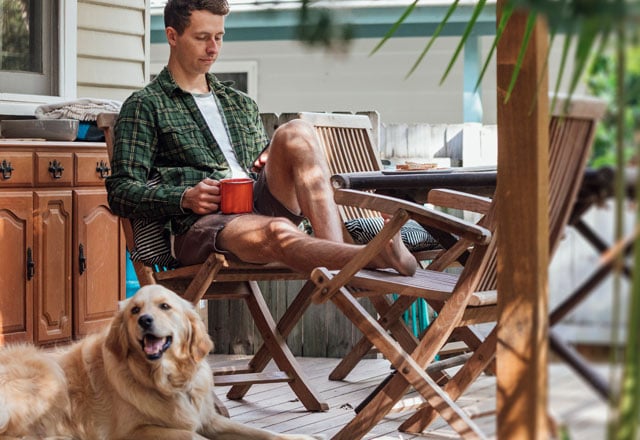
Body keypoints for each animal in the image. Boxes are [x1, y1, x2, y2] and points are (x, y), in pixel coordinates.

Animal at [0, 286, 320, 440]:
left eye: (165, 306)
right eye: (134, 310)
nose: (144, 320)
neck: (169, 381)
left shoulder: (209, 419)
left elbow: (263, 432)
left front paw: (302, 437)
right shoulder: (134, 432)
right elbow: (190, 435)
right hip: (49, 375)